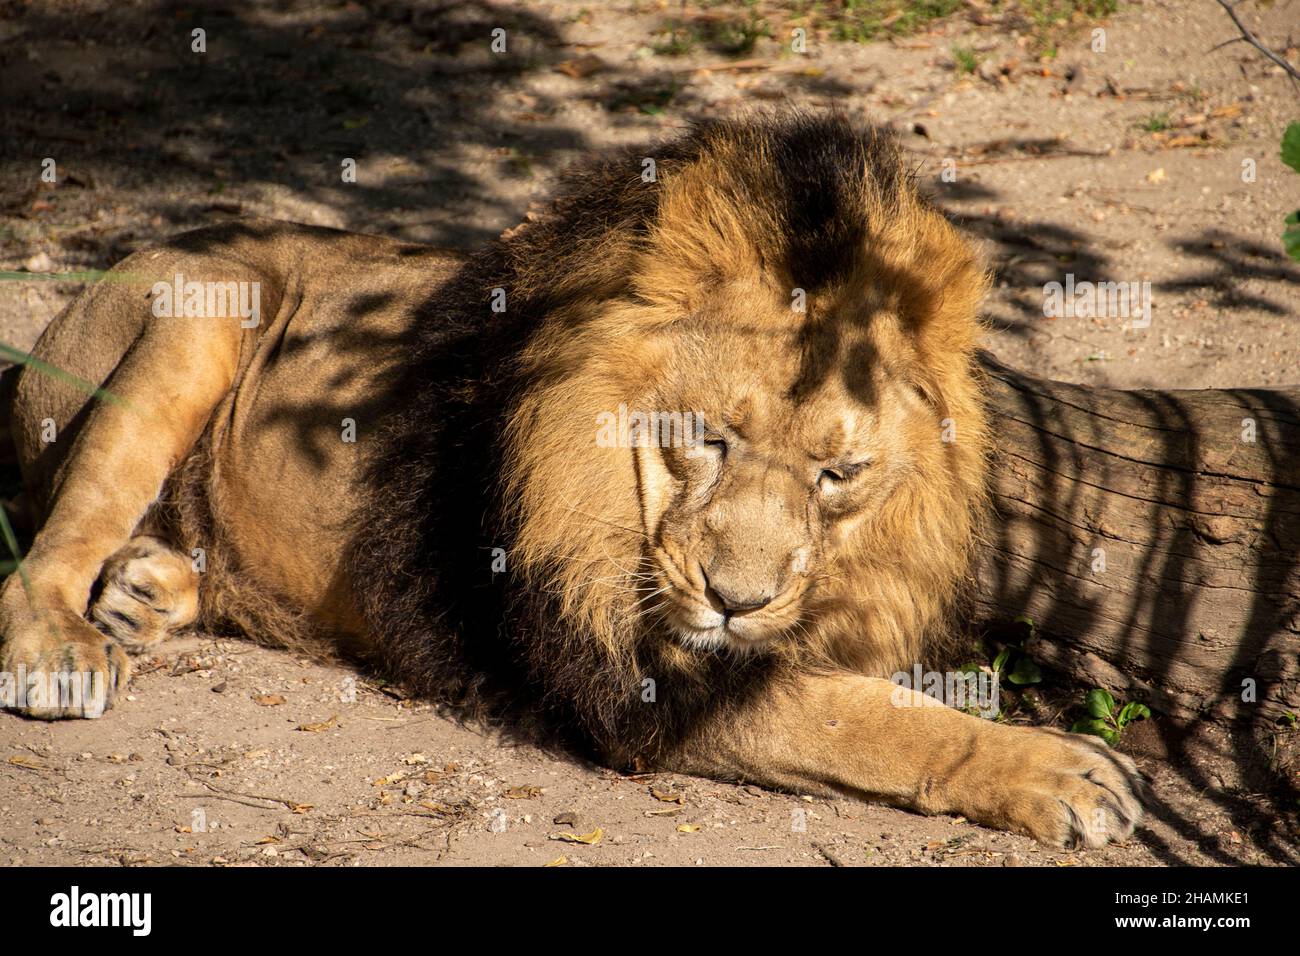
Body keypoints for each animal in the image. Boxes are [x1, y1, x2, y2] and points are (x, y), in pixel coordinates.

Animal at [0, 115, 1144, 848]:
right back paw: (66, 644)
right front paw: (1054, 767)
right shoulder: (626, 677)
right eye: (706, 439)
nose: (736, 601)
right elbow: (869, 720)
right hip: (205, 302)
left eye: (838, 474)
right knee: (46, 542)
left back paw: (149, 586)